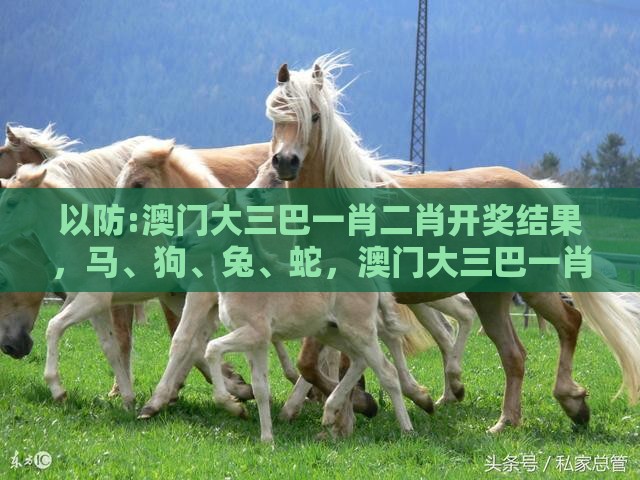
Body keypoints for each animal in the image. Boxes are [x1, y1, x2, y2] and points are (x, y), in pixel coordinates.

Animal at [262, 54, 640, 433]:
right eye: (276, 114)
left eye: (314, 116)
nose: (285, 162)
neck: (341, 205)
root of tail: (538, 186)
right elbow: (320, 363)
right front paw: (353, 412)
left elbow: (327, 363)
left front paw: (376, 403)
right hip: (489, 295)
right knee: (514, 353)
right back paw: (504, 422)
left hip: (532, 283)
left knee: (569, 323)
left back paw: (572, 401)